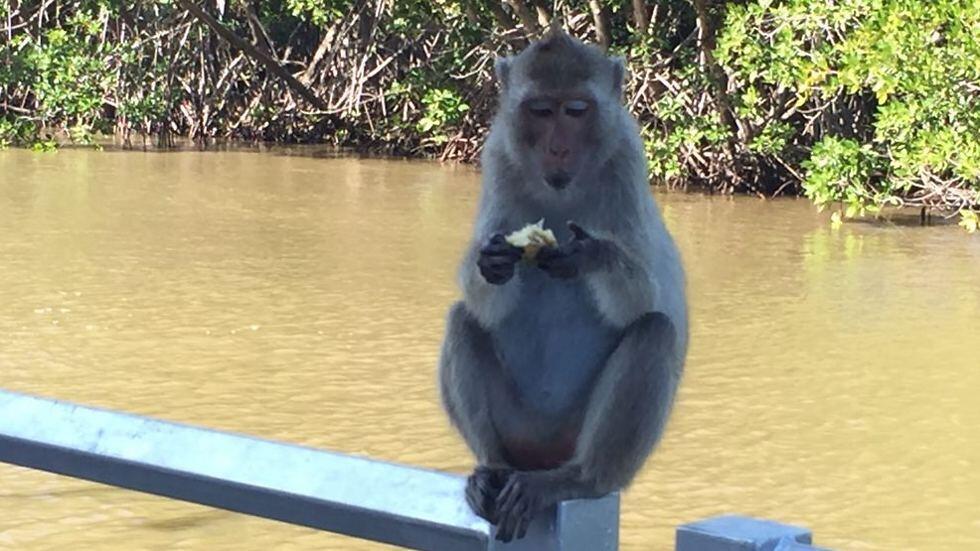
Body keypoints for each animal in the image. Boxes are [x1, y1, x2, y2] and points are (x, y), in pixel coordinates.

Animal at [438, 27, 688, 543]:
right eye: (540, 111)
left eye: (575, 110)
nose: (557, 149)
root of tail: (541, 456)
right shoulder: (498, 156)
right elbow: (485, 304)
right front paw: (492, 262)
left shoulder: (626, 158)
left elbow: (645, 298)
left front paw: (589, 256)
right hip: (517, 430)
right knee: (462, 318)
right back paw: (490, 468)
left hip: (579, 440)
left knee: (655, 331)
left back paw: (580, 479)